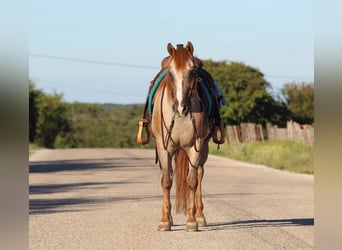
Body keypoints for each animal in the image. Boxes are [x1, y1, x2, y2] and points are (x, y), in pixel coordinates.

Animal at [151, 41, 212, 230]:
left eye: (192, 72)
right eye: (170, 73)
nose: (180, 108)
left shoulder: (196, 146)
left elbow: (191, 181)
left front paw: (192, 221)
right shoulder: (163, 147)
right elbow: (166, 181)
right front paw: (164, 221)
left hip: (203, 149)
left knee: (199, 174)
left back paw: (199, 216)